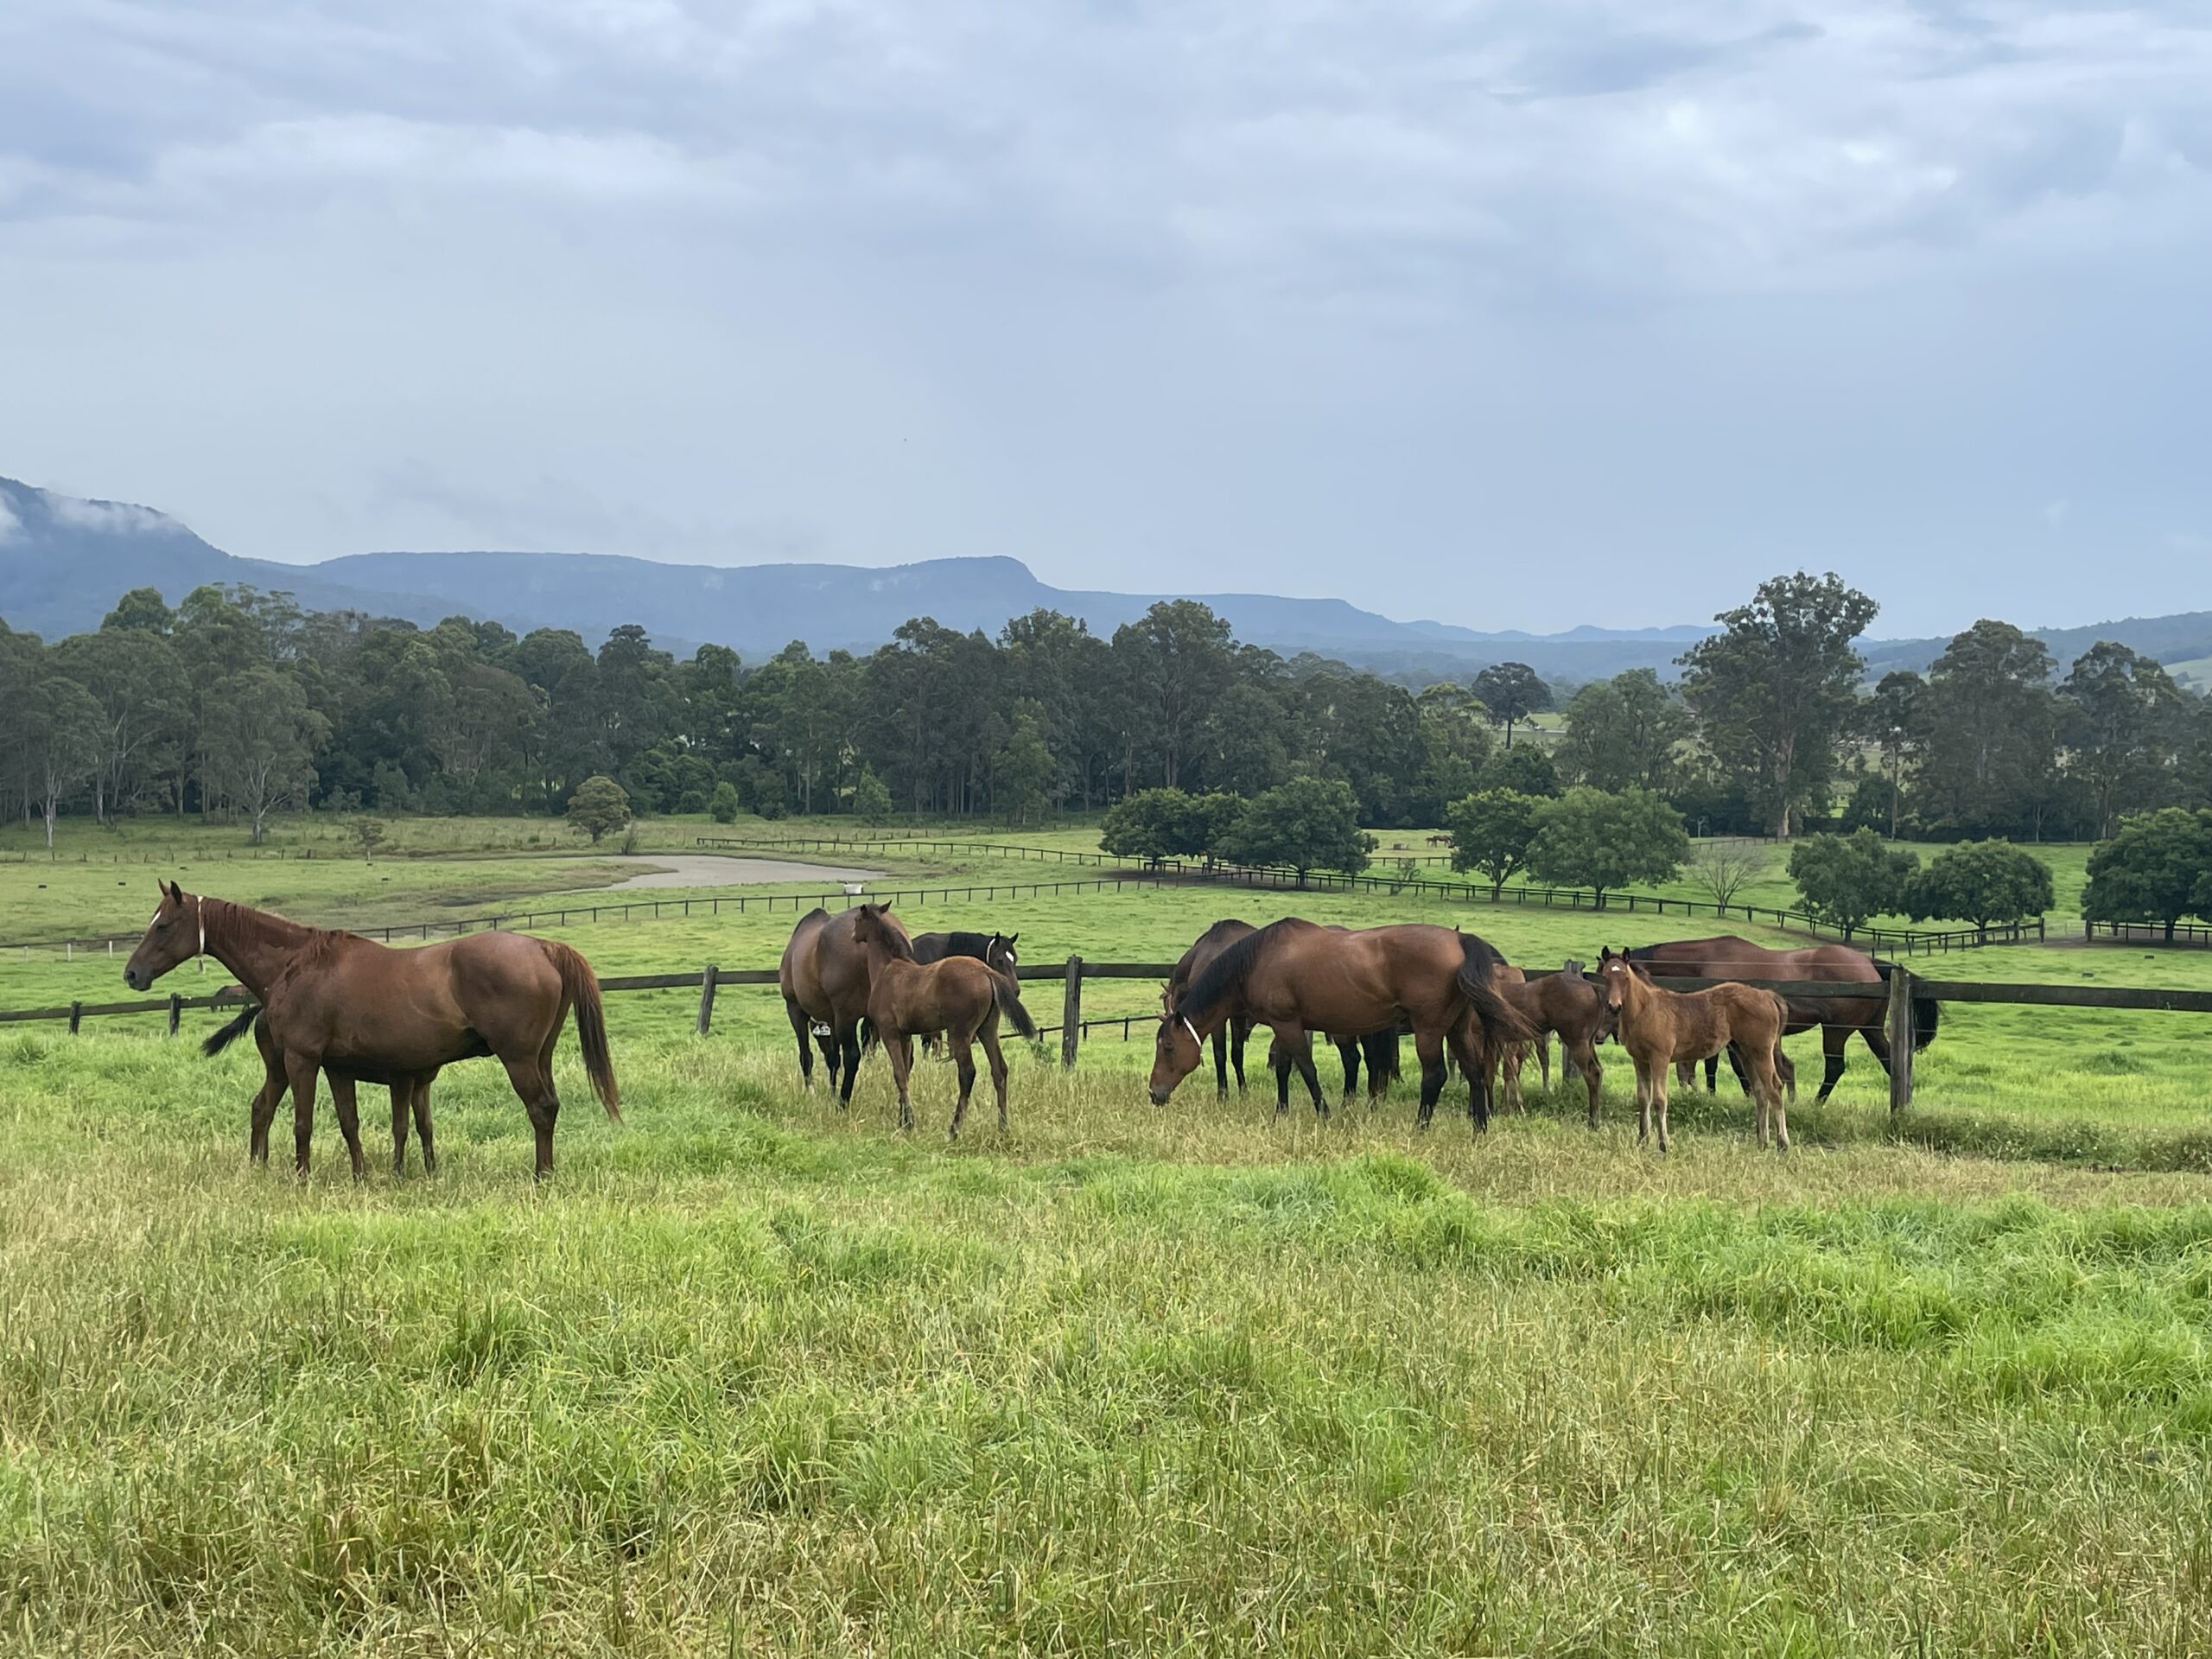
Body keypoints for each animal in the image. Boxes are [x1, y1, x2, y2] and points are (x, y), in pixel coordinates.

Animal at [123, 882, 618, 1180]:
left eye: (163, 925)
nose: (132, 974)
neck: (296, 964)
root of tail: (543, 947)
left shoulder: (303, 1060)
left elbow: (303, 1123)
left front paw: (302, 1178)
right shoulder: (339, 1067)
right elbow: (350, 1123)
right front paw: (361, 1176)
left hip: (518, 1060)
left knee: (541, 1109)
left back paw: (542, 1177)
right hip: (540, 1057)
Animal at [850, 903, 1038, 1136]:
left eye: (857, 920)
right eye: (1001, 959)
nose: (852, 935)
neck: (889, 968)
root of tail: (986, 972)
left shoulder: (890, 1032)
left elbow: (900, 1074)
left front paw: (908, 1121)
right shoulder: (905, 1035)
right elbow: (906, 1073)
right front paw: (903, 1120)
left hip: (960, 1034)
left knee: (967, 1073)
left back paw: (954, 1129)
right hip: (987, 1030)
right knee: (1000, 1070)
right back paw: (1003, 1127)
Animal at [1150, 919, 1531, 1134]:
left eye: (1168, 1047)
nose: (1155, 1093)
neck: (1260, 957)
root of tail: (1460, 941)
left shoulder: (1288, 1024)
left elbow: (1307, 1069)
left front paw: (1324, 1113)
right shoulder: (1283, 1025)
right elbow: (1284, 1068)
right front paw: (1281, 1112)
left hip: (1429, 1029)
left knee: (1435, 1075)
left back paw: (1421, 1128)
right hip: (1457, 1028)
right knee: (1475, 1071)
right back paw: (1479, 1127)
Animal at [1594, 947, 1788, 1153]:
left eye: (1625, 978)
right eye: (1605, 977)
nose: (1614, 1006)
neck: (1645, 1010)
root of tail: (1767, 995)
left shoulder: (1660, 1058)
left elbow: (1659, 1100)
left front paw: (1663, 1145)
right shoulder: (1639, 1060)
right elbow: (1643, 1098)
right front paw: (1642, 1141)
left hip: (1761, 1052)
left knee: (1775, 1088)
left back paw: (1783, 1143)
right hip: (1745, 1053)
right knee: (1761, 1092)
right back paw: (1762, 1143)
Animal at [1626, 935, 1937, 1102]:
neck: (1707, 961)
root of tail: (1870, 964)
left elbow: (1733, 1068)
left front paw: (1748, 1095)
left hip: (1835, 1031)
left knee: (1835, 1068)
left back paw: (1815, 1104)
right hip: (1869, 1029)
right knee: (1889, 1061)